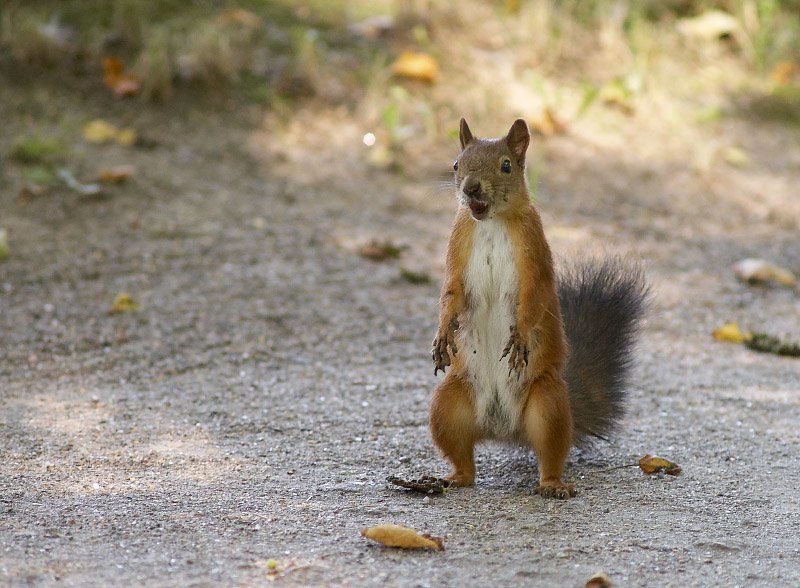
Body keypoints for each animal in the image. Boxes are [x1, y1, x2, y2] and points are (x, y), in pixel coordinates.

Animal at [428, 118, 648, 496]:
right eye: (456, 164)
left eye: (506, 166)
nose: (471, 188)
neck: (490, 223)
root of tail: (506, 431)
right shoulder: (457, 248)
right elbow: (451, 294)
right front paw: (443, 334)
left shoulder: (534, 253)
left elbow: (532, 298)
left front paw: (519, 337)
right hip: (448, 404)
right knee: (463, 457)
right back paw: (455, 478)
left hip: (548, 405)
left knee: (551, 452)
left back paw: (553, 485)